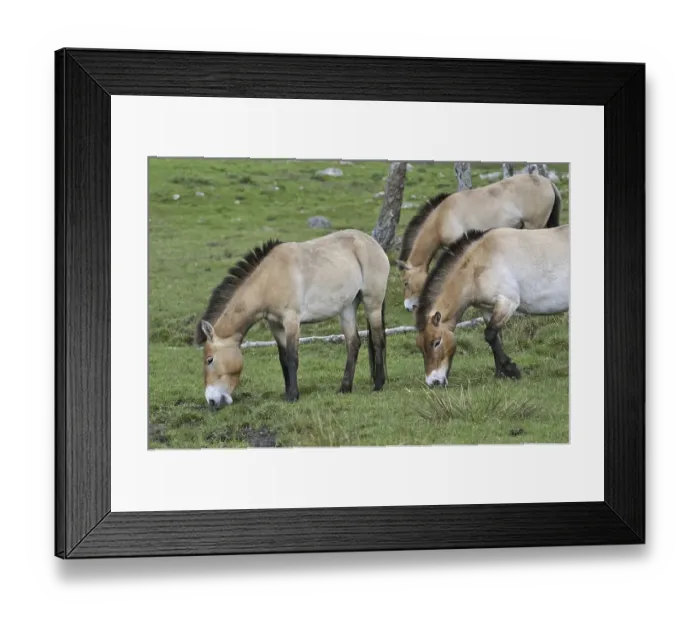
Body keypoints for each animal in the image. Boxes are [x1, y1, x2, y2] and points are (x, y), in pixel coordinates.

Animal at [194, 229, 390, 407]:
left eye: (210, 360)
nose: (211, 401)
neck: (269, 278)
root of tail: (374, 243)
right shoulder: (275, 324)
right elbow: (283, 359)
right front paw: (287, 392)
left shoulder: (291, 321)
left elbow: (292, 358)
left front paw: (293, 396)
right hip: (347, 308)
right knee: (353, 343)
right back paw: (344, 388)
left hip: (372, 303)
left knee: (378, 340)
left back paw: (378, 385)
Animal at [414, 224, 570, 386]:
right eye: (419, 345)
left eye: (436, 342)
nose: (433, 382)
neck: (480, 262)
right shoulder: (488, 310)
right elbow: (495, 340)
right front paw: (500, 374)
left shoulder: (507, 302)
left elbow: (489, 335)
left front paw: (512, 370)